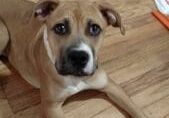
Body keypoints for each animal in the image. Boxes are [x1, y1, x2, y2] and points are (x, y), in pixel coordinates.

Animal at [0, 0, 148, 118]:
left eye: (94, 28)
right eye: (60, 27)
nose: (78, 57)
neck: (76, 78)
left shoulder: (111, 86)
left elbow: (136, 110)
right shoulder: (51, 107)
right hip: (4, 33)